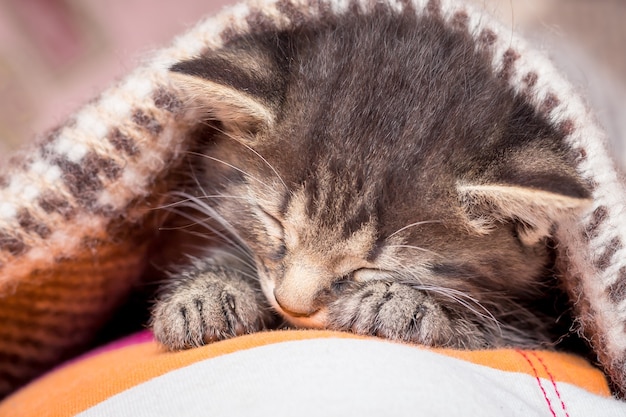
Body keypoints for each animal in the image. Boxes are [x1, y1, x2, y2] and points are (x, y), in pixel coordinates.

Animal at [149, 8, 588, 352]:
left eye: (371, 268)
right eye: (274, 222)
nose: (293, 306)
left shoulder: (541, 326)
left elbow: (495, 331)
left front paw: (400, 305)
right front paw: (206, 293)